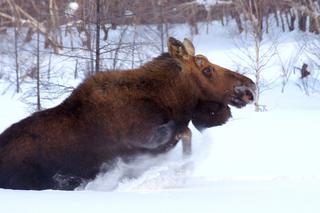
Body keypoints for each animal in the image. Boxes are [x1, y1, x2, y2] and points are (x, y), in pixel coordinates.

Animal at [0, 36, 255, 190]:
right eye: (207, 69)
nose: (249, 87)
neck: (172, 100)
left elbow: (186, 131)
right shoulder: (144, 140)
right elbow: (184, 131)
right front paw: (182, 168)